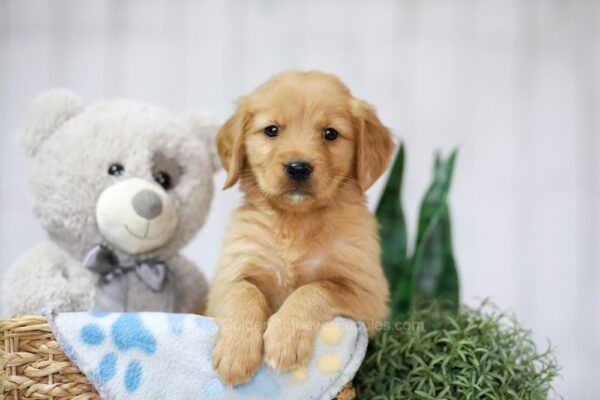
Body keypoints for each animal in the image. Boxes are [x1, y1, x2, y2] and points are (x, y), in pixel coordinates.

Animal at [206, 71, 394, 384]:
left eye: (330, 133)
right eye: (271, 130)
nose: (298, 168)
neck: (296, 221)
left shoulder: (368, 294)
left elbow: (315, 288)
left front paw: (284, 337)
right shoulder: (227, 278)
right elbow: (244, 292)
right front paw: (237, 353)